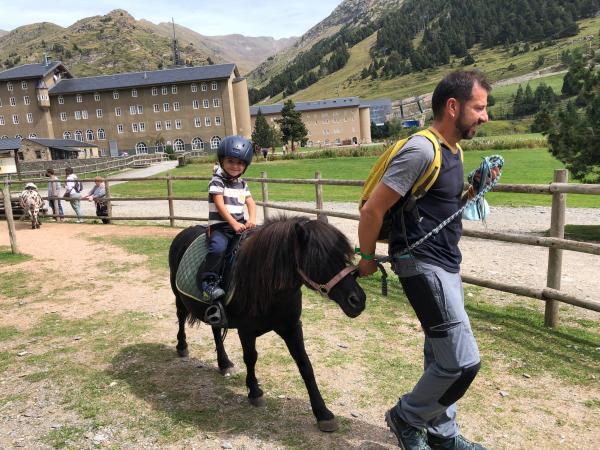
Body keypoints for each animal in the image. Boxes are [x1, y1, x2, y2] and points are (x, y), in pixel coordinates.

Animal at [169, 216, 366, 430]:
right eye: (320, 260)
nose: (358, 300)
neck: (267, 286)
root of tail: (183, 233)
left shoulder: (292, 327)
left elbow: (305, 364)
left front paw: (323, 413)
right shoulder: (246, 331)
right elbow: (251, 358)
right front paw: (254, 392)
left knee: (215, 331)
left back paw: (224, 363)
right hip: (178, 297)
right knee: (181, 318)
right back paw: (182, 347)